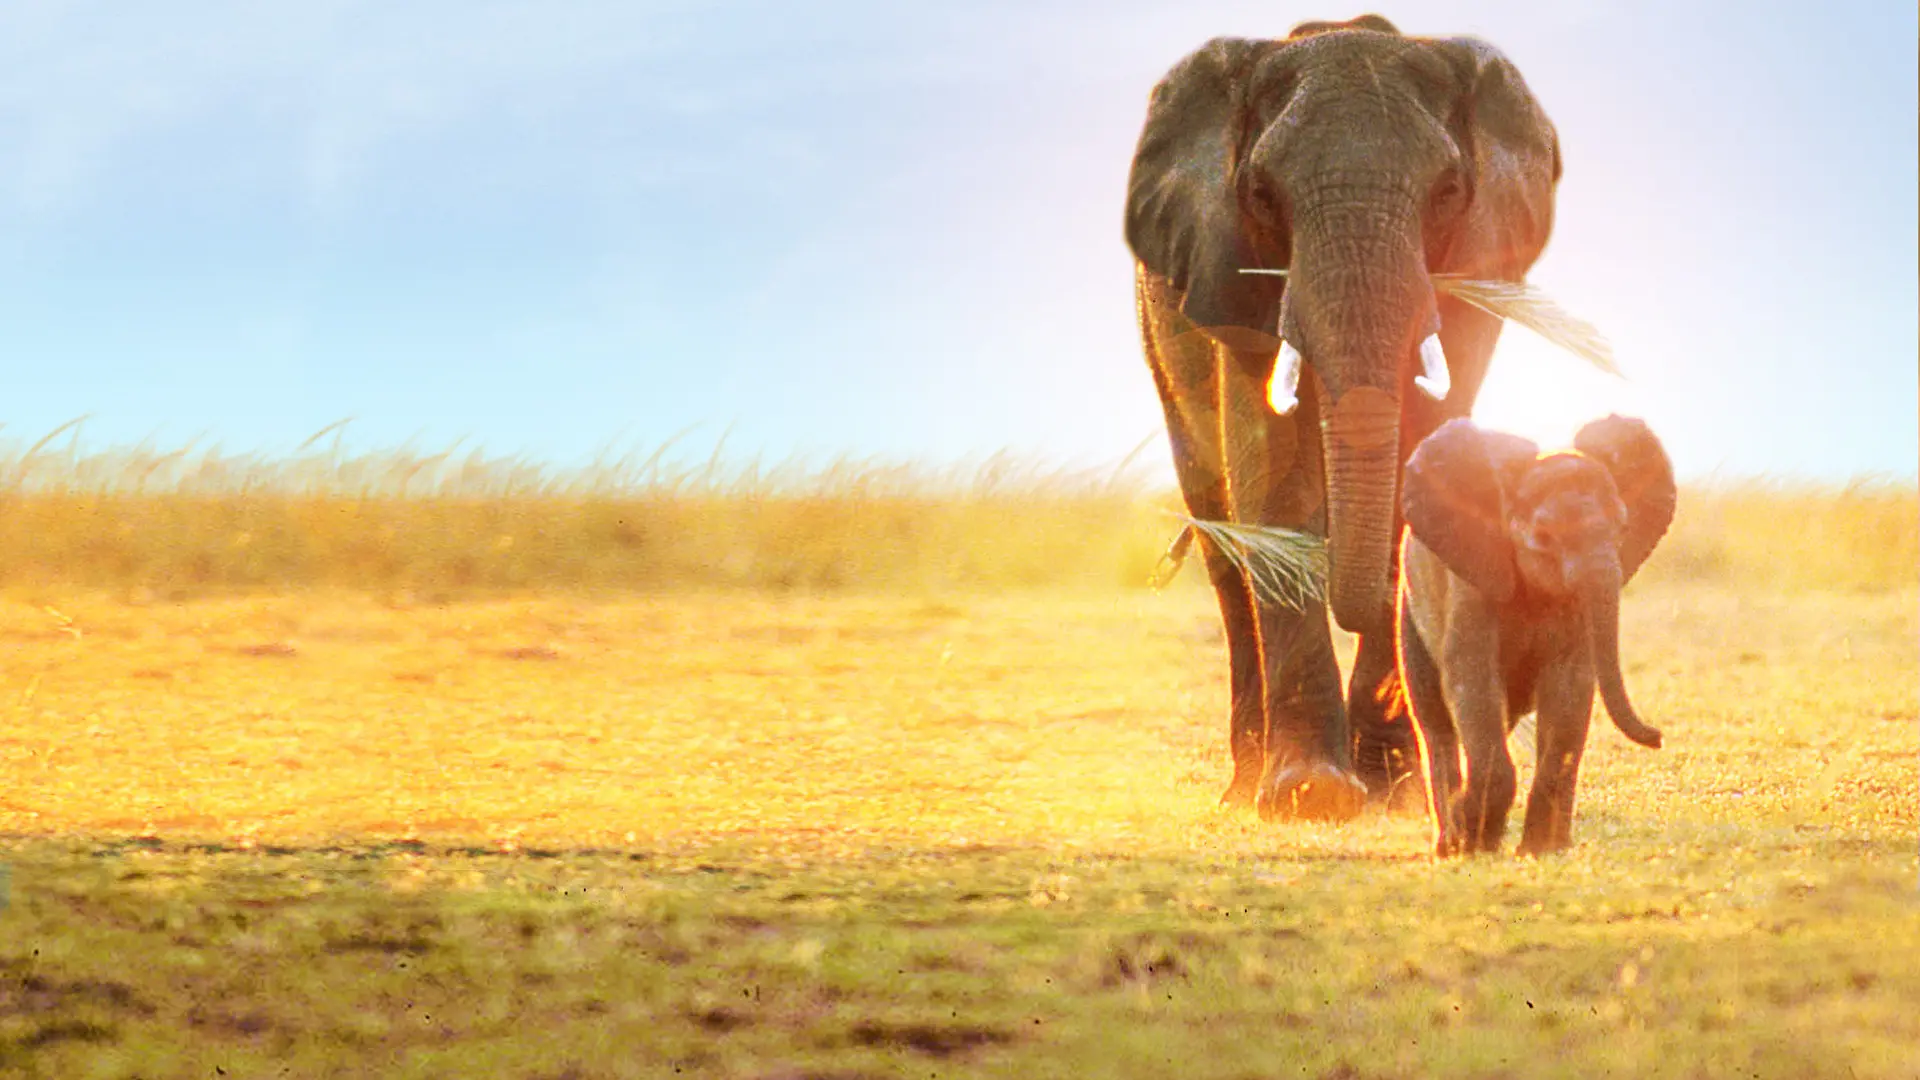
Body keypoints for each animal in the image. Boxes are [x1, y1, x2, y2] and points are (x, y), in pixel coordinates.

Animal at [1125, 15, 1562, 819]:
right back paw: (1246, 784)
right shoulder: (1234, 272)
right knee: (1223, 548)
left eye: (1449, 190)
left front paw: (1403, 792)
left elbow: (1425, 458)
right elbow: (1272, 473)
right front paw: (1312, 794)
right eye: (1260, 193)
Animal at [1396, 415, 1677, 855]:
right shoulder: (1471, 578)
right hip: (1408, 608)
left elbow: (1570, 685)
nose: (1659, 737)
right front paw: (1479, 844)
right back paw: (1450, 844)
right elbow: (1471, 676)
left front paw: (1542, 850)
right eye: (1543, 538)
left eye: (1623, 527)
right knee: (1435, 720)